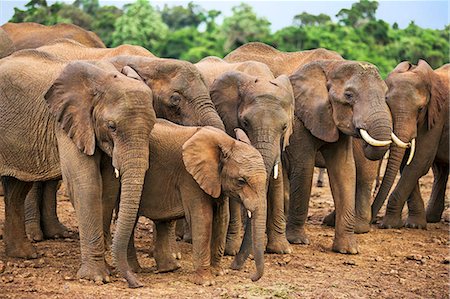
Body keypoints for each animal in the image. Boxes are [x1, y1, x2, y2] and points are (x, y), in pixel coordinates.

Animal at [0, 49, 156, 288]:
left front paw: (107, 270)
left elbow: (108, 189)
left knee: (17, 188)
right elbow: (86, 184)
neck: (101, 79)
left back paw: (24, 255)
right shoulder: (66, 122)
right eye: (112, 126)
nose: (137, 283)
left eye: (152, 127)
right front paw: (97, 277)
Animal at [370, 61, 448, 230]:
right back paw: (431, 218)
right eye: (387, 105)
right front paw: (414, 225)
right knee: (441, 170)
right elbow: (407, 162)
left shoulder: (437, 115)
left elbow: (419, 162)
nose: (371, 221)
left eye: (420, 109)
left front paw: (390, 225)